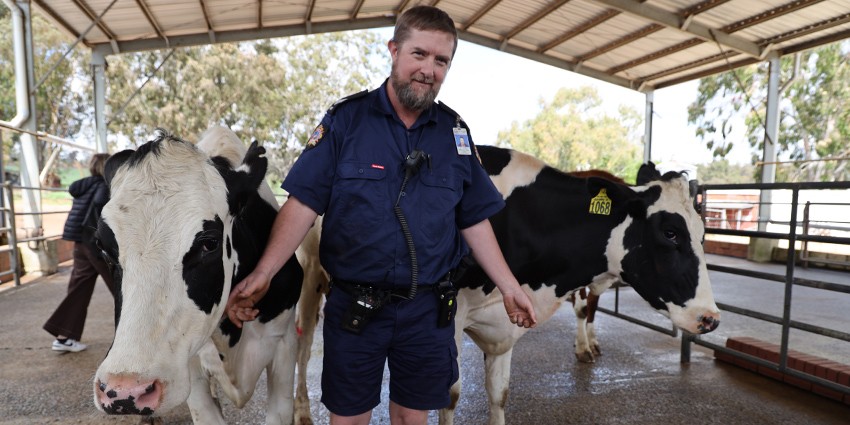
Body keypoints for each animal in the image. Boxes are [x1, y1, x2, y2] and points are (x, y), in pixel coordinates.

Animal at [290, 144, 716, 422]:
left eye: (702, 232)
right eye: (671, 233)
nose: (710, 318)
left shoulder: (505, 319)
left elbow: (499, 393)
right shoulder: (448, 317)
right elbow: (450, 394)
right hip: (311, 276)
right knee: (303, 346)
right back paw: (301, 410)